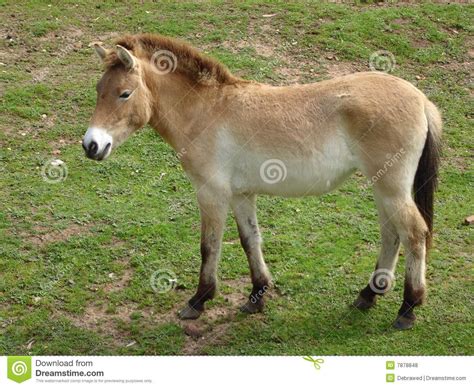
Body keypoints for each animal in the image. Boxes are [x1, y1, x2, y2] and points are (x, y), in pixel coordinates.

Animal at [82, 34, 440, 330]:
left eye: (124, 94)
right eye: (99, 90)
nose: (91, 146)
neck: (207, 112)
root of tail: (420, 99)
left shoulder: (211, 193)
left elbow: (209, 245)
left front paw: (199, 300)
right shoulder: (241, 194)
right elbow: (249, 240)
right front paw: (257, 295)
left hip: (392, 189)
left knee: (413, 234)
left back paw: (407, 308)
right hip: (383, 188)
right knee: (391, 235)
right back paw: (368, 294)